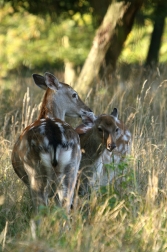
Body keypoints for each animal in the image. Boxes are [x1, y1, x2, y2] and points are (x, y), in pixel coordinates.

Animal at [11, 71, 95, 213]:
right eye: (74, 94)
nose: (88, 109)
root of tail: (55, 139)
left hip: (35, 172)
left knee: (41, 207)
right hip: (71, 170)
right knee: (65, 205)